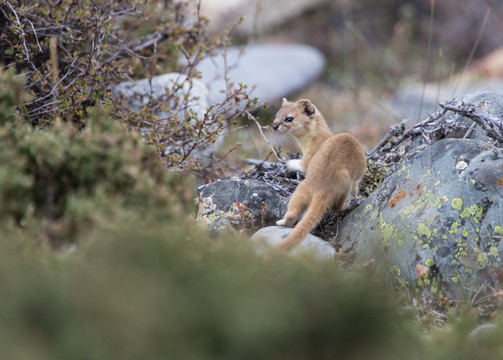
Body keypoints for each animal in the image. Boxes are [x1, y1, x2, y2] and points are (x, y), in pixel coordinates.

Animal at [272, 97, 366, 250]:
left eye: (289, 118)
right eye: (276, 115)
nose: (274, 126)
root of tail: (322, 186)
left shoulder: (308, 159)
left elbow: (301, 164)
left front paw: (288, 164)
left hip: (300, 189)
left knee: (293, 211)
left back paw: (282, 221)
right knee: (335, 206)